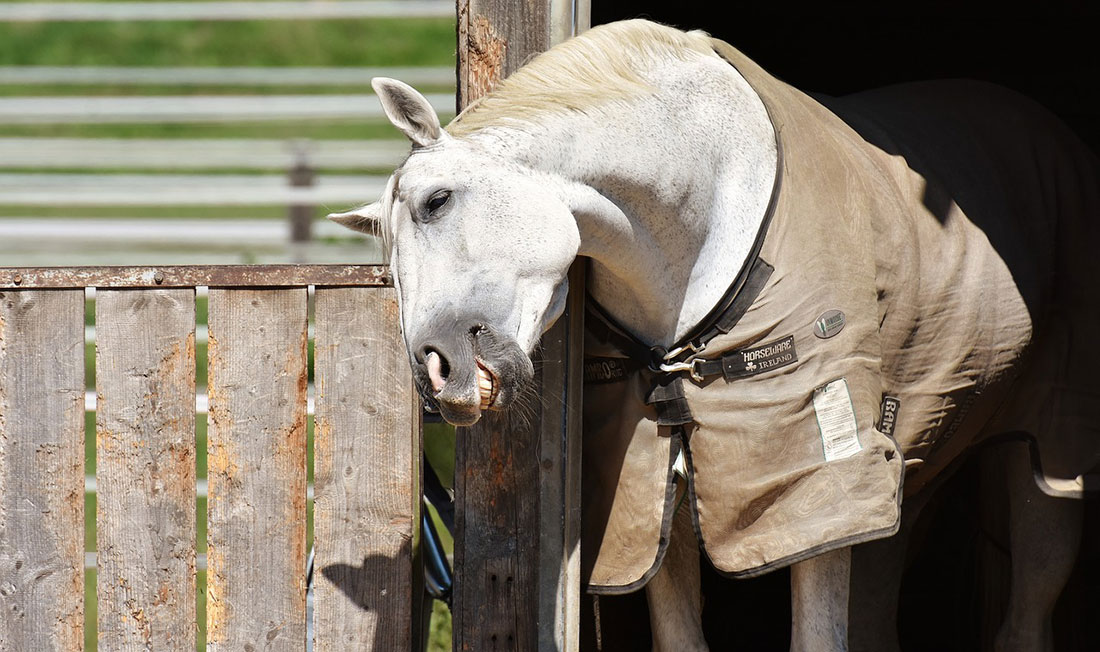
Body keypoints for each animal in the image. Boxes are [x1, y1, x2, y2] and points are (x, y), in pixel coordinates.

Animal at [330, 17, 1095, 646]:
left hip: (1043, 469)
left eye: (437, 201)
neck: (704, 212)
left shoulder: (816, 491)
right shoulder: (658, 492)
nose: (437, 376)